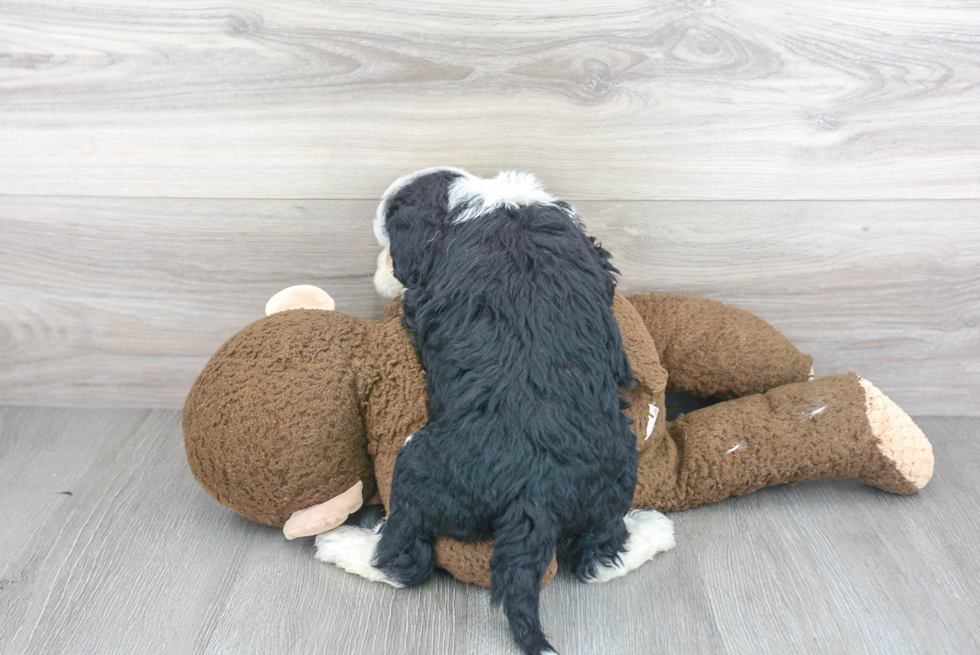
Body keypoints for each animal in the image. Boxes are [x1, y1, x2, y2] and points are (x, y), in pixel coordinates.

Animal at [320, 168, 672, 655]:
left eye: (393, 214)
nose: (381, 205)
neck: (491, 202)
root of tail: (535, 495)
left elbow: (402, 280)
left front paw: (383, 273)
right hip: (618, 468)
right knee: (600, 556)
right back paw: (654, 530)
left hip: (416, 464)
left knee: (404, 559)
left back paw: (341, 544)